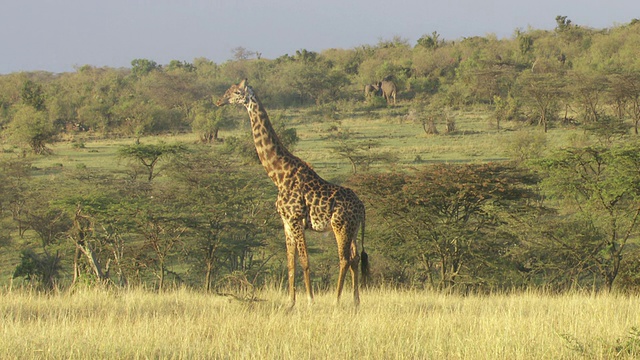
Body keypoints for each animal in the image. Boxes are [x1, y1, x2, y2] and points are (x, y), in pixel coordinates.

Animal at [216, 79, 370, 306]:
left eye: (236, 92)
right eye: (227, 90)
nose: (219, 101)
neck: (279, 175)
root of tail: (362, 206)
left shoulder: (296, 219)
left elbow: (305, 261)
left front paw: (310, 301)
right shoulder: (286, 223)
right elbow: (291, 263)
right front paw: (290, 303)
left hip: (340, 226)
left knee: (344, 259)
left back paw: (336, 300)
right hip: (351, 228)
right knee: (355, 258)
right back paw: (356, 302)